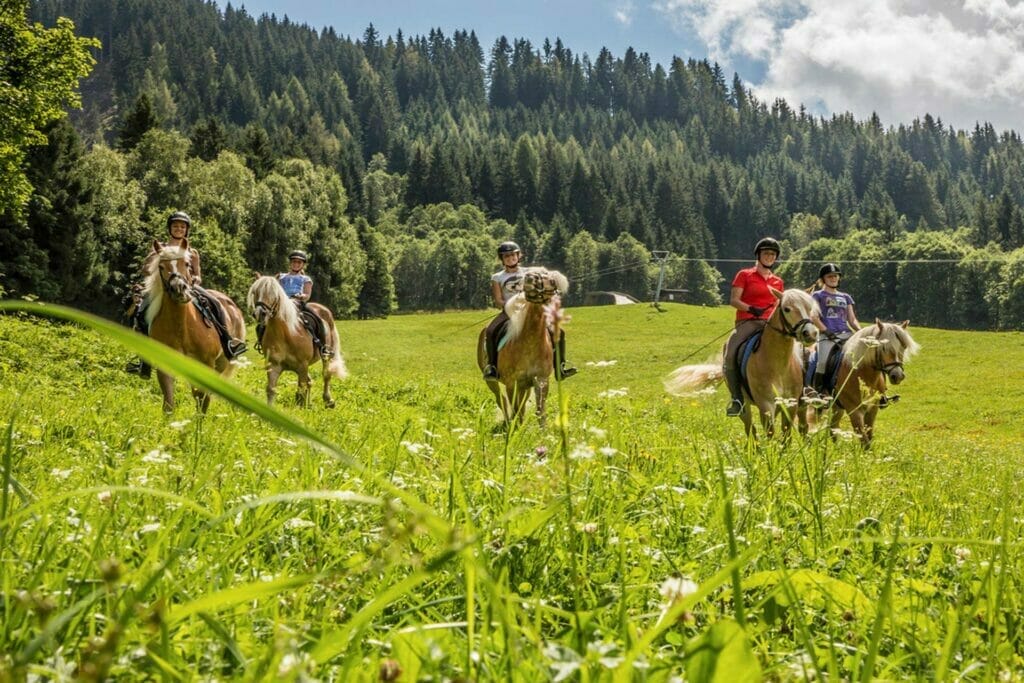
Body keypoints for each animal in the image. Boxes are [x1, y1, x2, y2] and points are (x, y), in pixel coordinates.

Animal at [140, 240, 245, 411]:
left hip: (221, 363)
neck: (182, 329)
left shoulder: (206, 364)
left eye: (187, 264)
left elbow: (202, 401)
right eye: (161, 266)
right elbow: (169, 404)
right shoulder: (165, 364)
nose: (179, 289)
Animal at [244, 276, 348, 409]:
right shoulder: (274, 365)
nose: (260, 314)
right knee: (310, 381)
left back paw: (328, 401)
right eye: (255, 292)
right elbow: (271, 390)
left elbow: (301, 392)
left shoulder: (302, 365)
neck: (284, 334)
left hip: (325, 356)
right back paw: (310, 404)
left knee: (326, 375)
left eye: (273, 294)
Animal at [477, 268, 569, 423]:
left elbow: (540, 412)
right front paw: (514, 427)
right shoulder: (511, 383)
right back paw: (507, 421)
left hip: (525, 387)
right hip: (493, 382)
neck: (530, 342)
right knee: (500, 399)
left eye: (552, 281)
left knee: (522, 404)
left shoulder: (541, 380)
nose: (530, 279)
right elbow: (515, 410)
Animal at [663, 288, 823, 438]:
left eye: (810, 309)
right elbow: (770, 433)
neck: (779, 366)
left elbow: (786, 435)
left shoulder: (791, 403)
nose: (811, 333)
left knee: (802, 427)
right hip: (745, 406)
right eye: (787, 309)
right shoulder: (766, 404)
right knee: (751, 431)